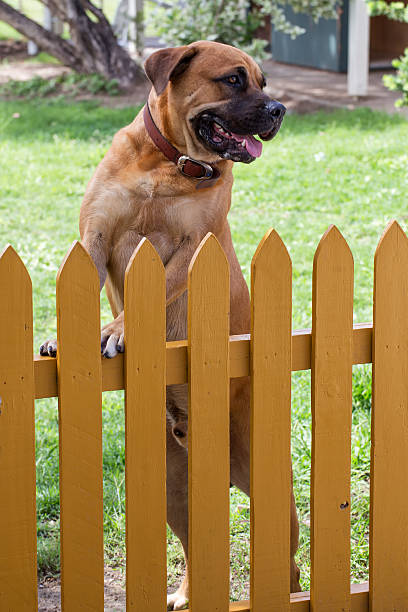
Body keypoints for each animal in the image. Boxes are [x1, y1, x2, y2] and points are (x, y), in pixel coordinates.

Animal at [39, 41, 302, 608]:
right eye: (234, 80)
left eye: (264, 83)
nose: (279, 110)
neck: (169, 163)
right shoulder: (94, 235)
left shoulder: (190, 249)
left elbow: (155, 292)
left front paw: (116, 330)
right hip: (173, 491)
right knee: (190, 545)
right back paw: (184, 591)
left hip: (269, 483)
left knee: (289, 556)